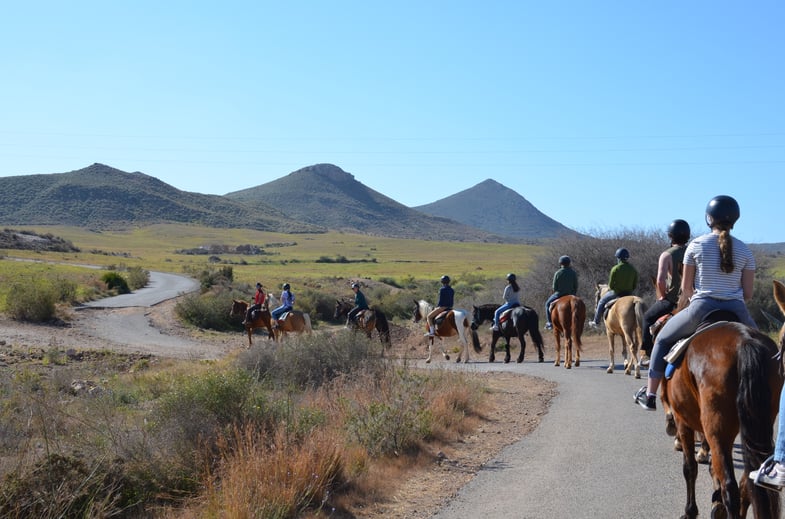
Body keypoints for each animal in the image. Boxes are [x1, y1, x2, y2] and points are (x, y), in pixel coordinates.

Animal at [656, 280, 784, 519]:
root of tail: (744, 342)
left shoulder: (683, 421)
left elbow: (690, 468)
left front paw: (690, 511)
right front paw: (716, 506)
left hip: (716, 426)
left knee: (730, 486)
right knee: (749, 479)